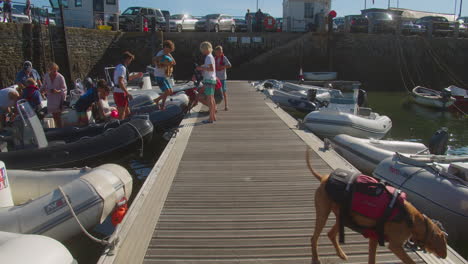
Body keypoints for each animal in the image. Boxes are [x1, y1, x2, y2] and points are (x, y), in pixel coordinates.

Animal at [306, 150, 448, 262]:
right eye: (444, 243)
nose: (445, 256)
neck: (412, 219)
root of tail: (324, 178)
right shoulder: (395, 246)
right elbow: (409, 261)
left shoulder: (374, 238)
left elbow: (372, 260)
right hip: (324, 214)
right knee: (314, 238)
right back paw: (316, 258)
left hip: (343, 217)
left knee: (330, 234)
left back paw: (341, 254)